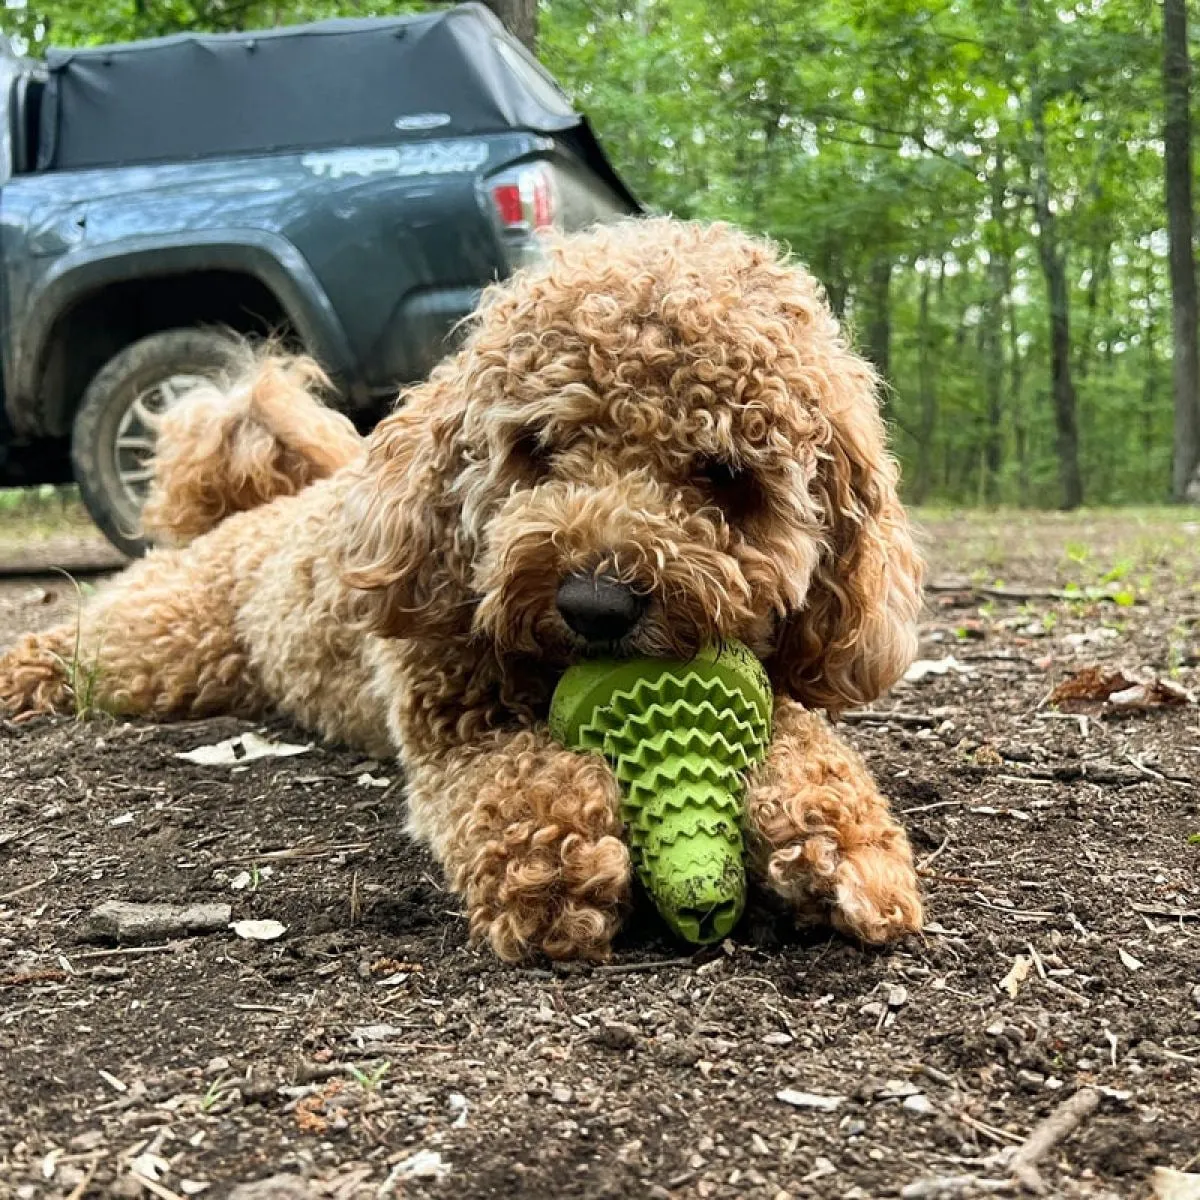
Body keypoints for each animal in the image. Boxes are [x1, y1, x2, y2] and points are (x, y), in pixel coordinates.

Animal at [0, 220, 926, 960]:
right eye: (537, 446)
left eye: (727, 476)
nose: (595, 605)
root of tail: (247, 512)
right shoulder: (455, 725)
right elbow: (516, 779)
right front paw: (552, 866)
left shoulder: (775, 679)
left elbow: (810, 747)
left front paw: (845, 846)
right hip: (162, 643)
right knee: (72, 644)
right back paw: (21, 677)